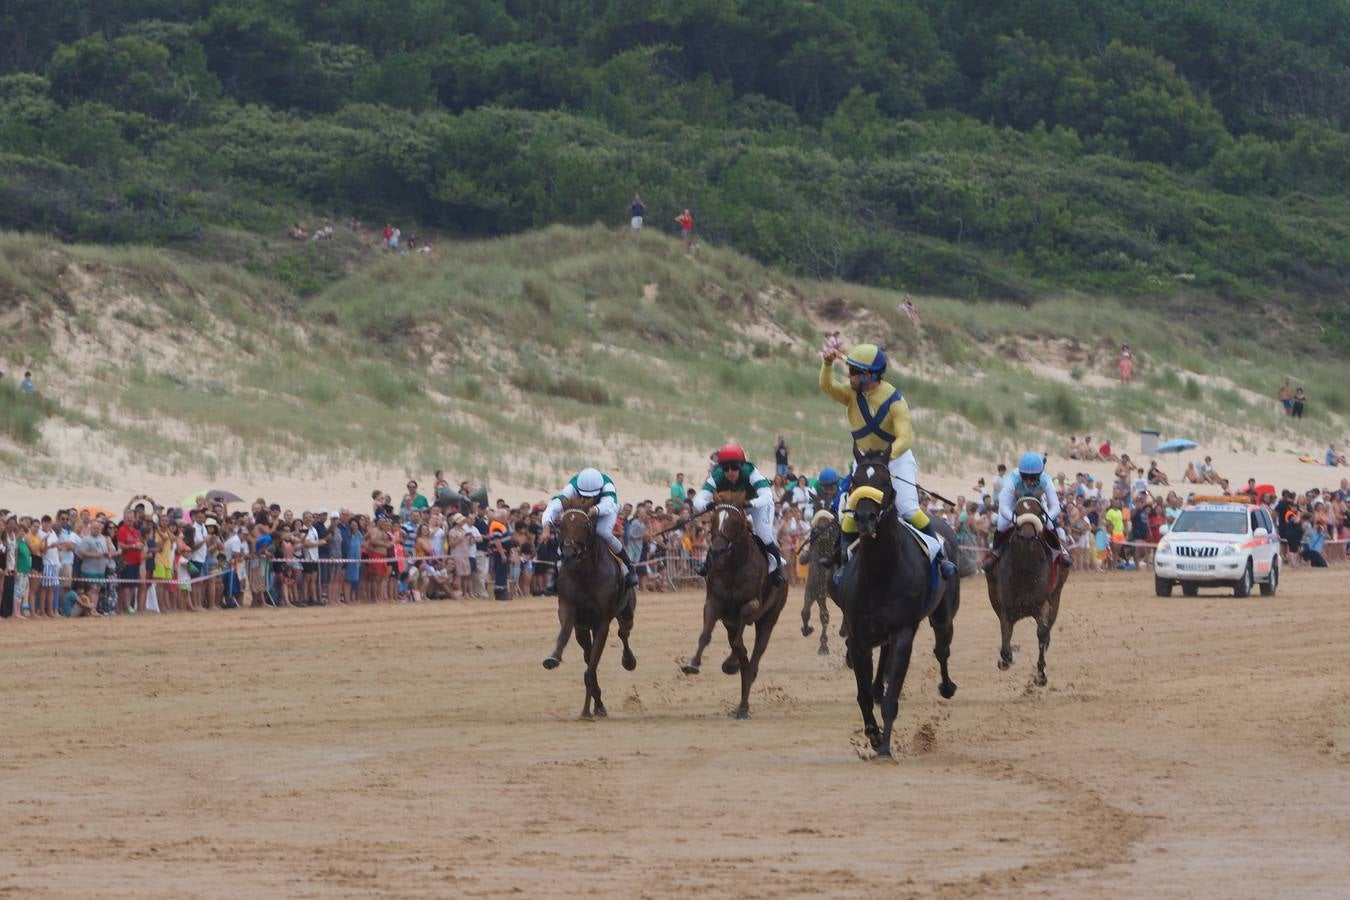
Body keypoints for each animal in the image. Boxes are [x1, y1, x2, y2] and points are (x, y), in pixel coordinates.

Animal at [542, 496, 637, 723]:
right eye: (561, 525)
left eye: (585, 525)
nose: (569, 554)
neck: (585, 574)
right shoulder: (571, 614)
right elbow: (565, 637)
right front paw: (553, 658)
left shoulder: (602, 622)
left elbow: (591, 670)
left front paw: (591, 709)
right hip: (584, 629)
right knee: (588, 654)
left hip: (626, 613)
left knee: (624, 633)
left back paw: (629, 661)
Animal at [680, 493, 788, 717]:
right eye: (713, 519)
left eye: (736, 521)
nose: (718, 550)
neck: (733, 566)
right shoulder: (714, 602)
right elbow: (706, 635)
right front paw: (693, 663)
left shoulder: (752, 604)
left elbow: (740, 640)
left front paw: (733, 664)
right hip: (729, 621)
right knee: (738, 645)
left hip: (769, 619)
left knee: (754, 656)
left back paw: (743, 705)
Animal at [793, 507, 837, 655]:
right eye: (814, 529)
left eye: (831, 526)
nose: (823, 531)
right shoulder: (814, 592)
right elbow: (808, 613)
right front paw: (808, 630)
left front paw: (823, 646)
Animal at [831, 450, 961, 761]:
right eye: (854, 481)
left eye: (885, 481)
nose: (865, 517)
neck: (881, 571)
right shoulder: (857, 636)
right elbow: (863, 694)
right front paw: (873, 734)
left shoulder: (903, 632)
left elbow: (892, 697)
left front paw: (886, 748)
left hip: (943, 615)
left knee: (941, 649)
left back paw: (946, 686)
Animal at [988, 496, 1069, 685]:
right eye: (1017, 511)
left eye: (1039, 512)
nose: (1026, 537)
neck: (1025, 568)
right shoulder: (1005, 607)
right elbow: (1006, 632)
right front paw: (1006, 659)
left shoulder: (1043, 603)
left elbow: (1042, 633)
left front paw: (1041, 674)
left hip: (1056, 597)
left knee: (1047, 629)